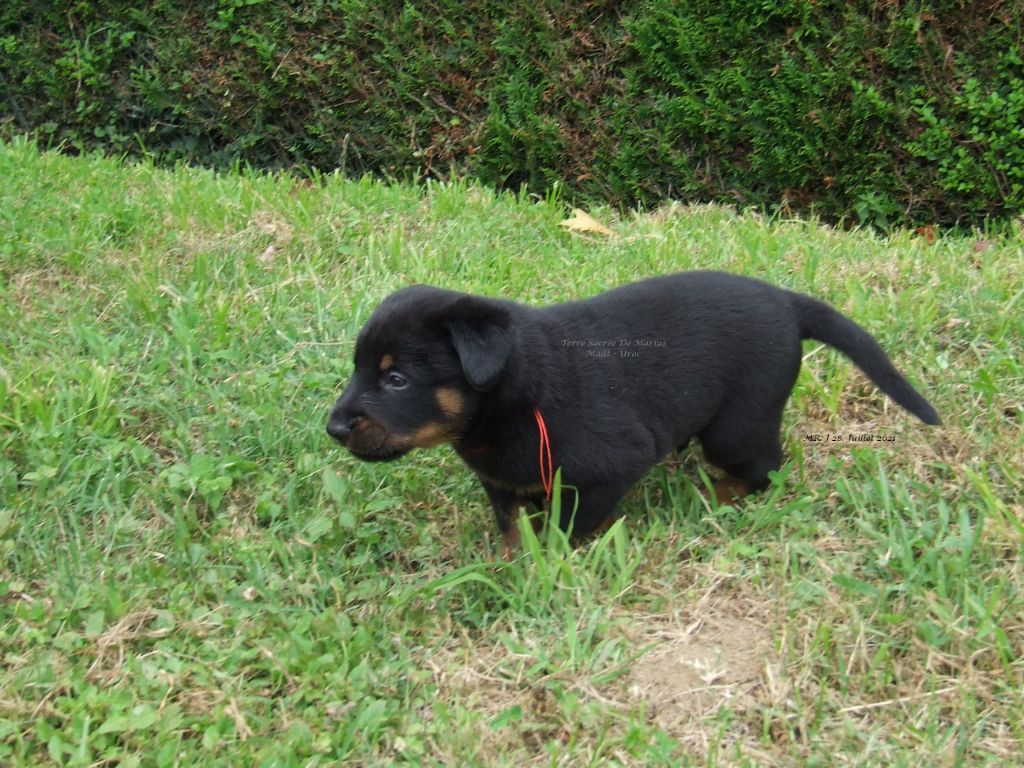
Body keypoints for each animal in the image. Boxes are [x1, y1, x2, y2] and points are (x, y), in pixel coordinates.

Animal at [323, 270, 937, 552]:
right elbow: (513, 528)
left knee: (768, 470)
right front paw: (514, 562)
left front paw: (554, 563)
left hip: (737, 427)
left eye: (396, 379)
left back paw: (718, 495)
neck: (512, 398)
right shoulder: (501, 483)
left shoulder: (612, 464)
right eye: (358, 370)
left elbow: (568, 528)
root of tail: (787, 302)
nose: (333, 427)